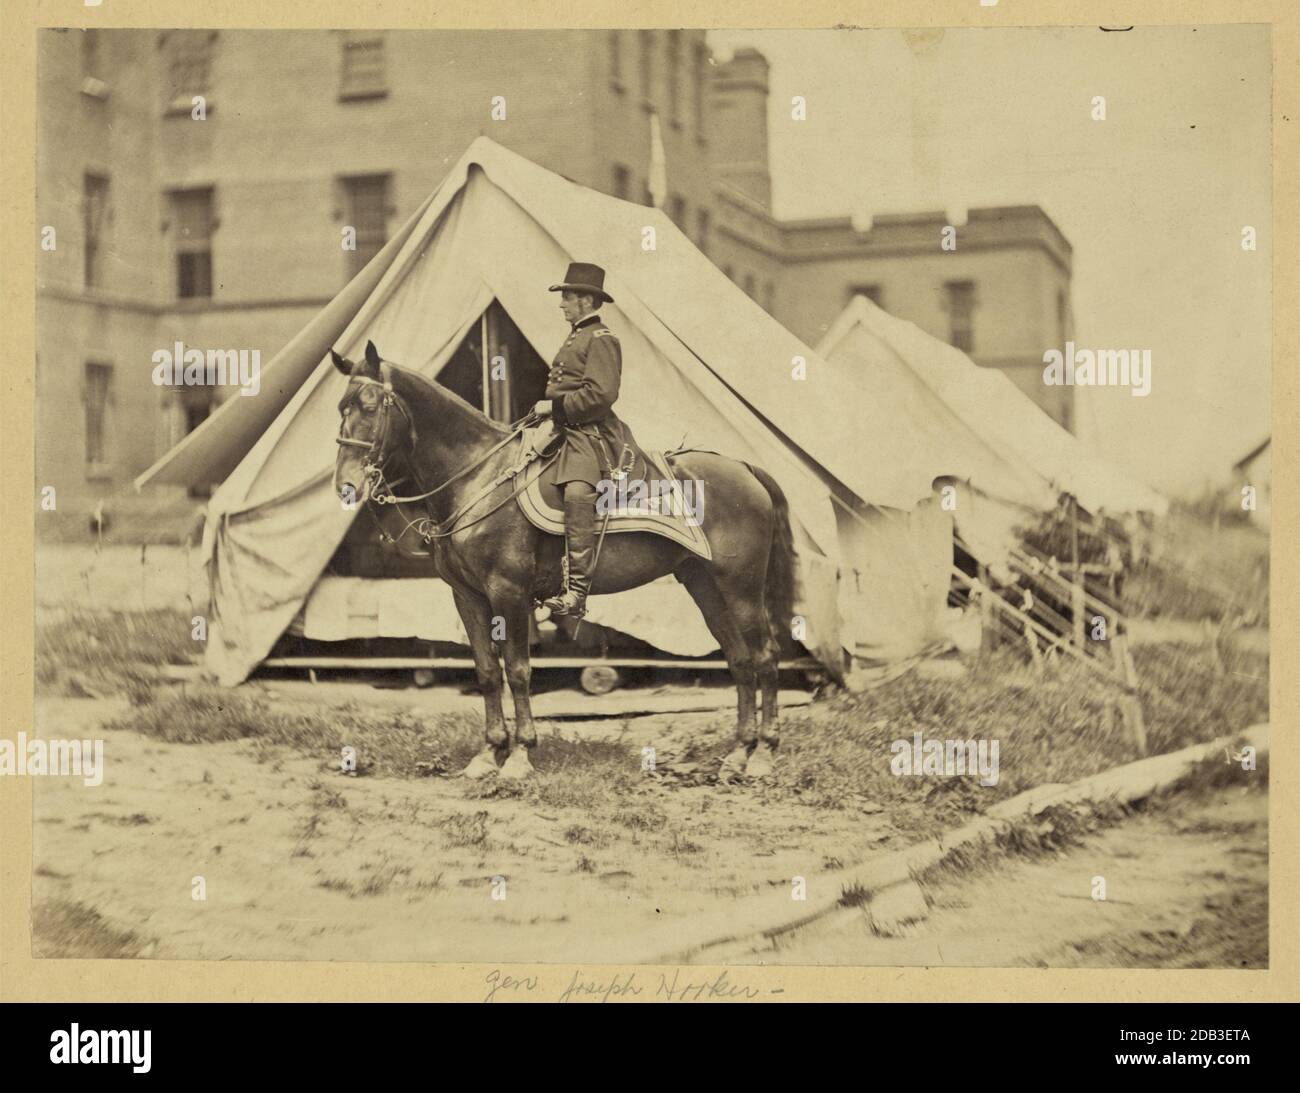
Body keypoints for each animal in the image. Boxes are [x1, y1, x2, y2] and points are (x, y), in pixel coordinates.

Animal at [327, 337, 790, 779]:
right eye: (340, 408)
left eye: (371, 406)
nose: (347, 486)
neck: (477, 477)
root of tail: (745, 468)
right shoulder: (467, 596)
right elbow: (487, 671)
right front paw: (487, 754)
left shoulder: (509, 593)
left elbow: (517, 670)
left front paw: (519, 756)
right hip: (704, 585)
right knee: (740, 659)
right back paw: (738, 753)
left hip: (742, 586)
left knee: (766, 656)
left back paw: (764, 753)